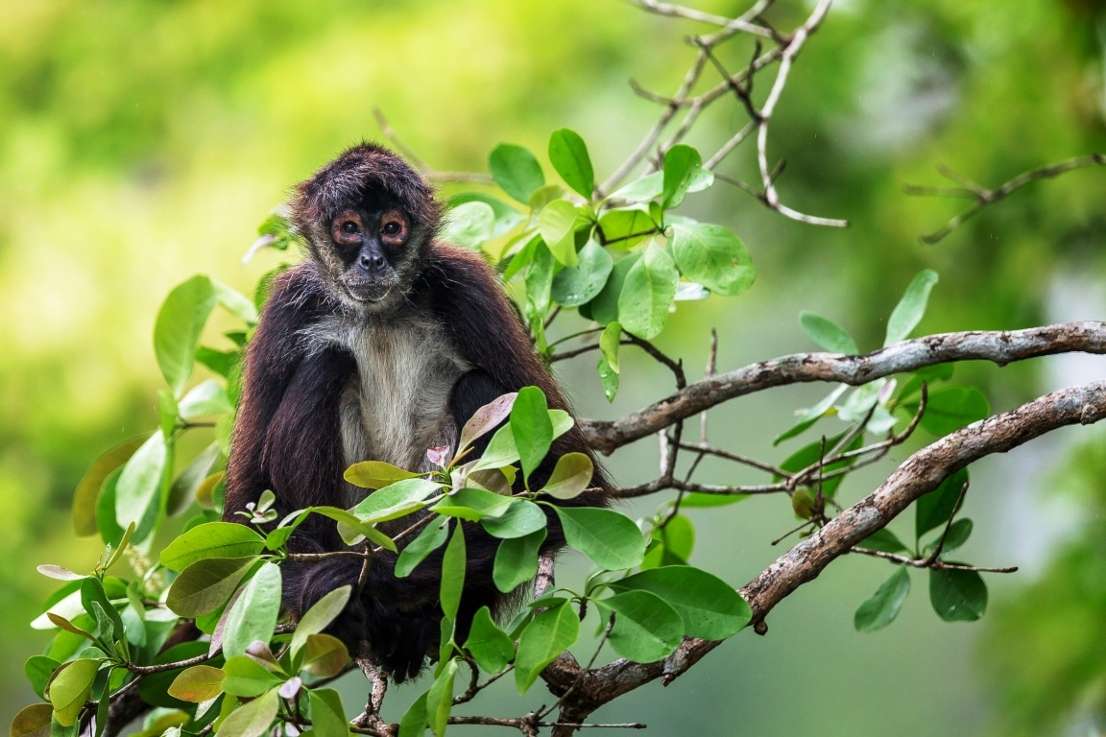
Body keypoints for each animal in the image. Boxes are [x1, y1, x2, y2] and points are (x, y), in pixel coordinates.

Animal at [223, 143, 609, 681]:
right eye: (349, 228)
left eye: (391, 228)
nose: (371, 259)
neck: (379, 315)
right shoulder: (287, 308)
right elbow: (247, 516)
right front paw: (324, 585)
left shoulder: (466, 285)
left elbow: (567, 498)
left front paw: (348, 577)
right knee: (326, 361)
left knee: (476, 386)